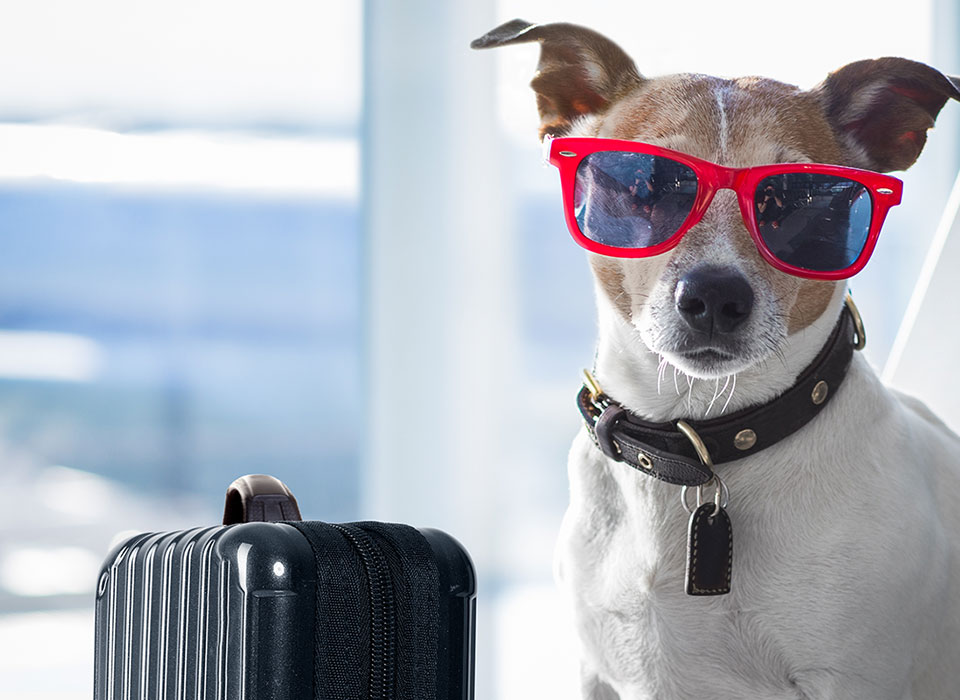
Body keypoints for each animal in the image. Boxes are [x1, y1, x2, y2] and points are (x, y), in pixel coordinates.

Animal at [472, 19, 960, 696]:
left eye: (798, 201)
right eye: (647, 185)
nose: (715, 297)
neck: (697, 438)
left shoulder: (855, 679)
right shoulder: (598, 673)